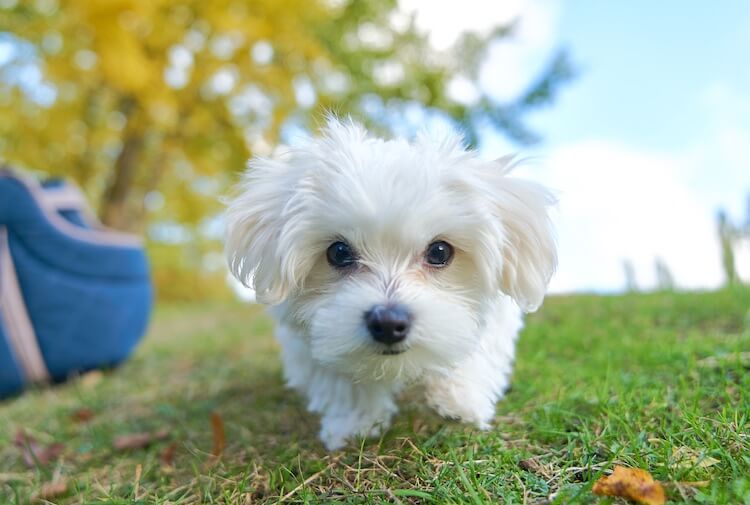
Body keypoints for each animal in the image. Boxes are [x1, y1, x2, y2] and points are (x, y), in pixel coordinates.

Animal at [223, 119, 560, 448]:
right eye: (338, 252)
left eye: (440, 251)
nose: (387, 323)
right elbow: (340, 376)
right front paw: (355, 423)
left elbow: (477, 345)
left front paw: (459, 401)